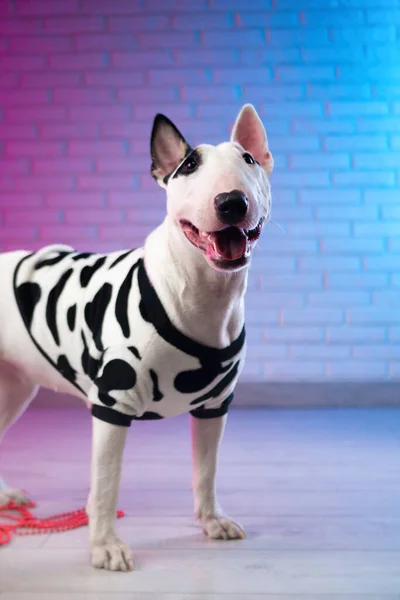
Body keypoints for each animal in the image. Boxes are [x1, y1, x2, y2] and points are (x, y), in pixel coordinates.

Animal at [0, 104, 272, 572]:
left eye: (250, 160)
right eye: (189, 165)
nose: (231, 202)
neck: (201, 294)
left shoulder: (214, 408)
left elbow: (206, 471)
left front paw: (212, 521)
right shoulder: (113, 404)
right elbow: (106, 487)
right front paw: (105, 546)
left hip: (13, 390)